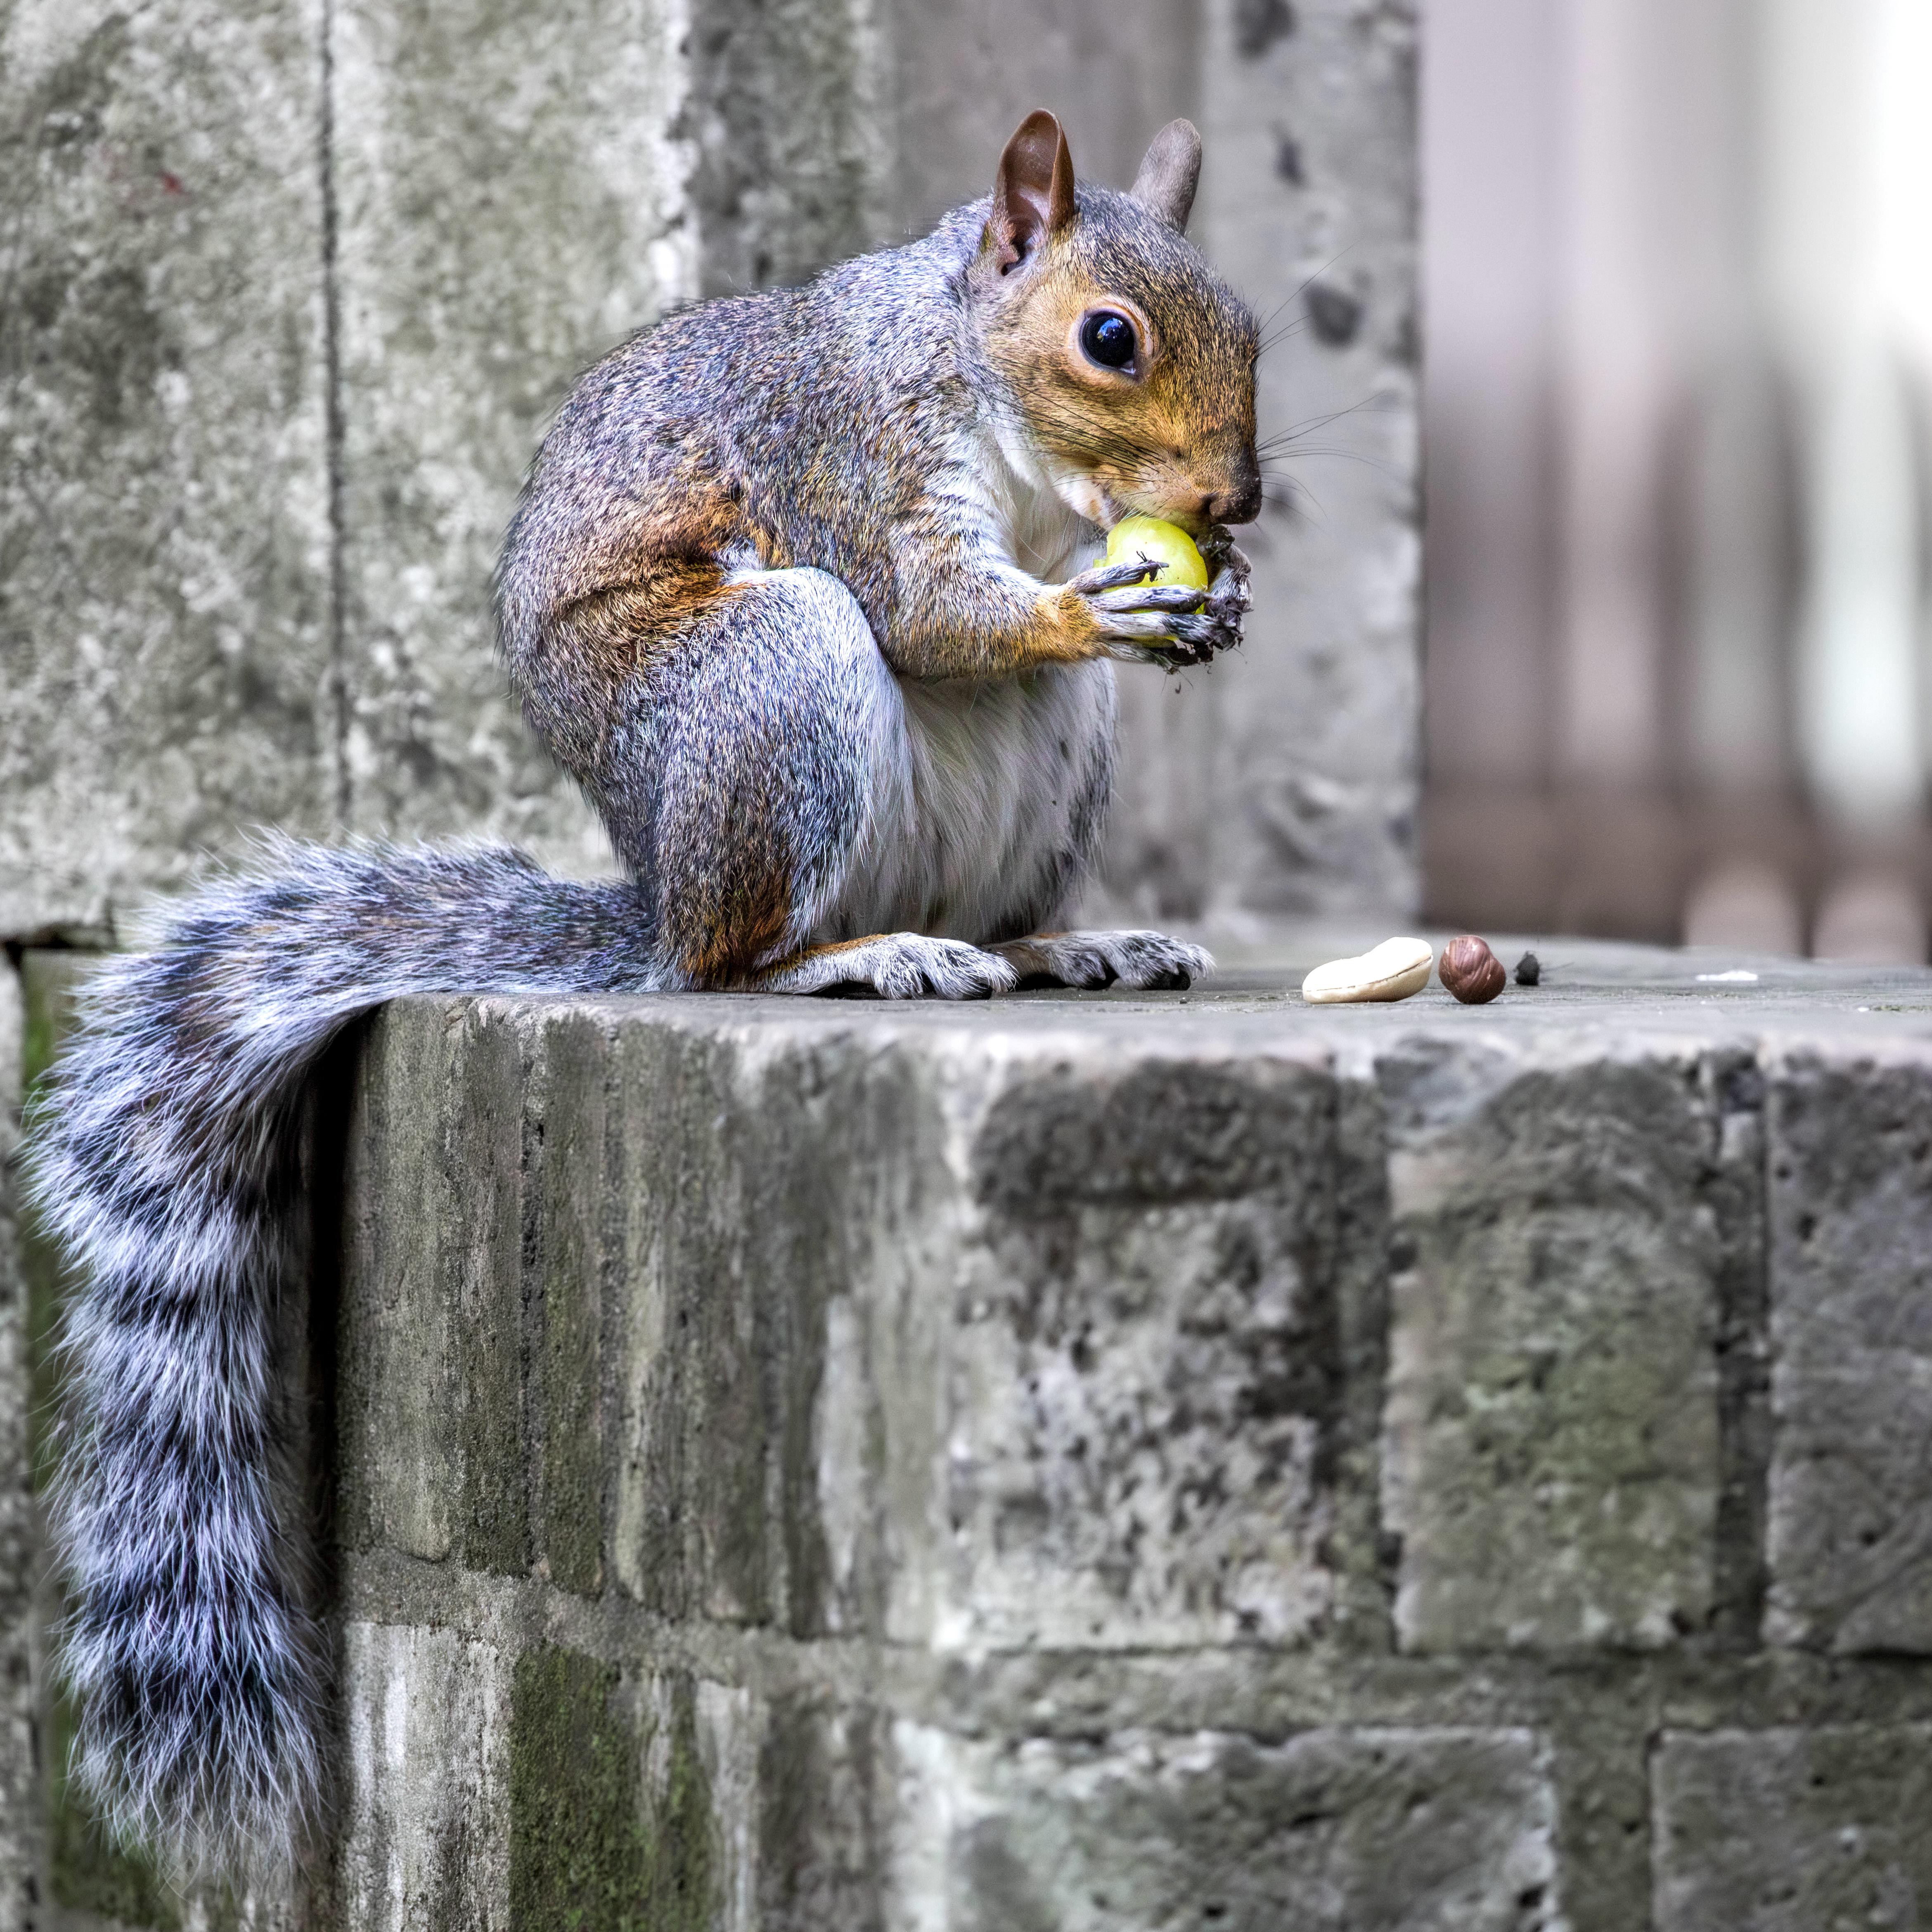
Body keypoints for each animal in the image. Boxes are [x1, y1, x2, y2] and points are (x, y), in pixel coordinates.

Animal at [28, 109, 1259, 1875]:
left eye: (1251, 327)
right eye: (1110, 339)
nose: (1234, 501)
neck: (980, 390)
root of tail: (655, 887)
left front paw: (1210, 595)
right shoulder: (848, 461)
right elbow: (933, 609)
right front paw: (1090, 601)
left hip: (1040, 768)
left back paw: (1052, 946)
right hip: (768, 687)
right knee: (732, 956)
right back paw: (848, 954)